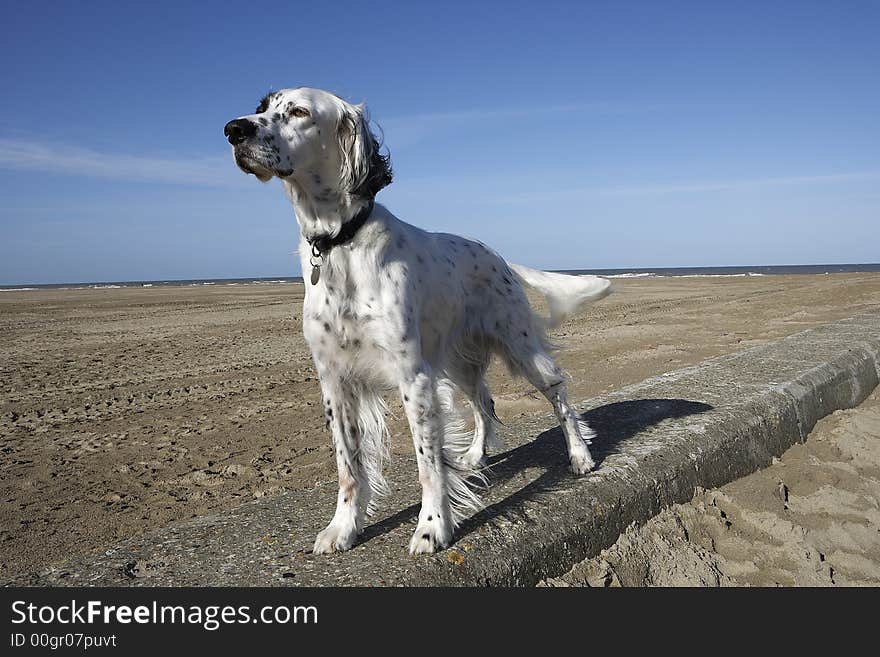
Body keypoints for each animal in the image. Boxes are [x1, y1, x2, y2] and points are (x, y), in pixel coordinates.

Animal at [225, 88, 612, 552]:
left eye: (299, 111)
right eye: (263, 107)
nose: (233, 130)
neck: (339, 243)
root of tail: (496, 255)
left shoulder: (414, 378)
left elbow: (428, 465)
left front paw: (432, 526)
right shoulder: (335, 382)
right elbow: (348, 467)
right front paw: (344, 527)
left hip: (520, 348)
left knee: (559, 395)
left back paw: (580, 456)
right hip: (459, 363)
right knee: (484, 402)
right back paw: (476, 455)